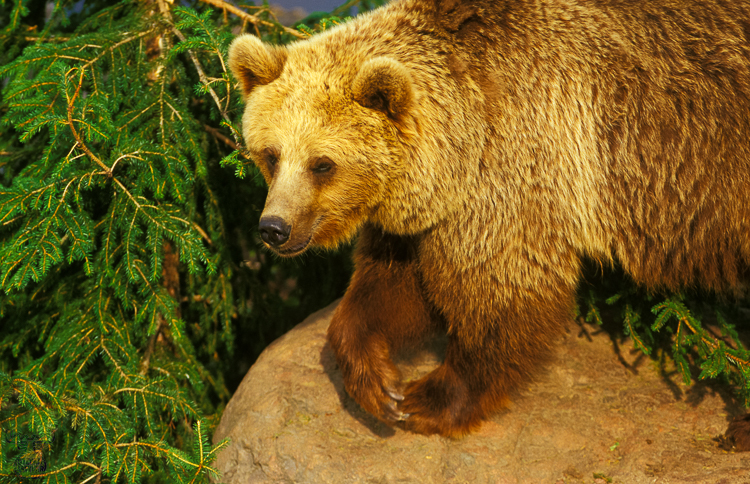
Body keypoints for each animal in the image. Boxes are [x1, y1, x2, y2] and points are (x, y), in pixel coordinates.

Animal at [227, 0, 750, 441]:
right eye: (270, 154)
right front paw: (378, 382)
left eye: (322, 164)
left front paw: (428, 399)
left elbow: (498, 289)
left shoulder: (517, 163)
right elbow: (393, 286)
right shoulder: (428, 213)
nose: (274, 227)